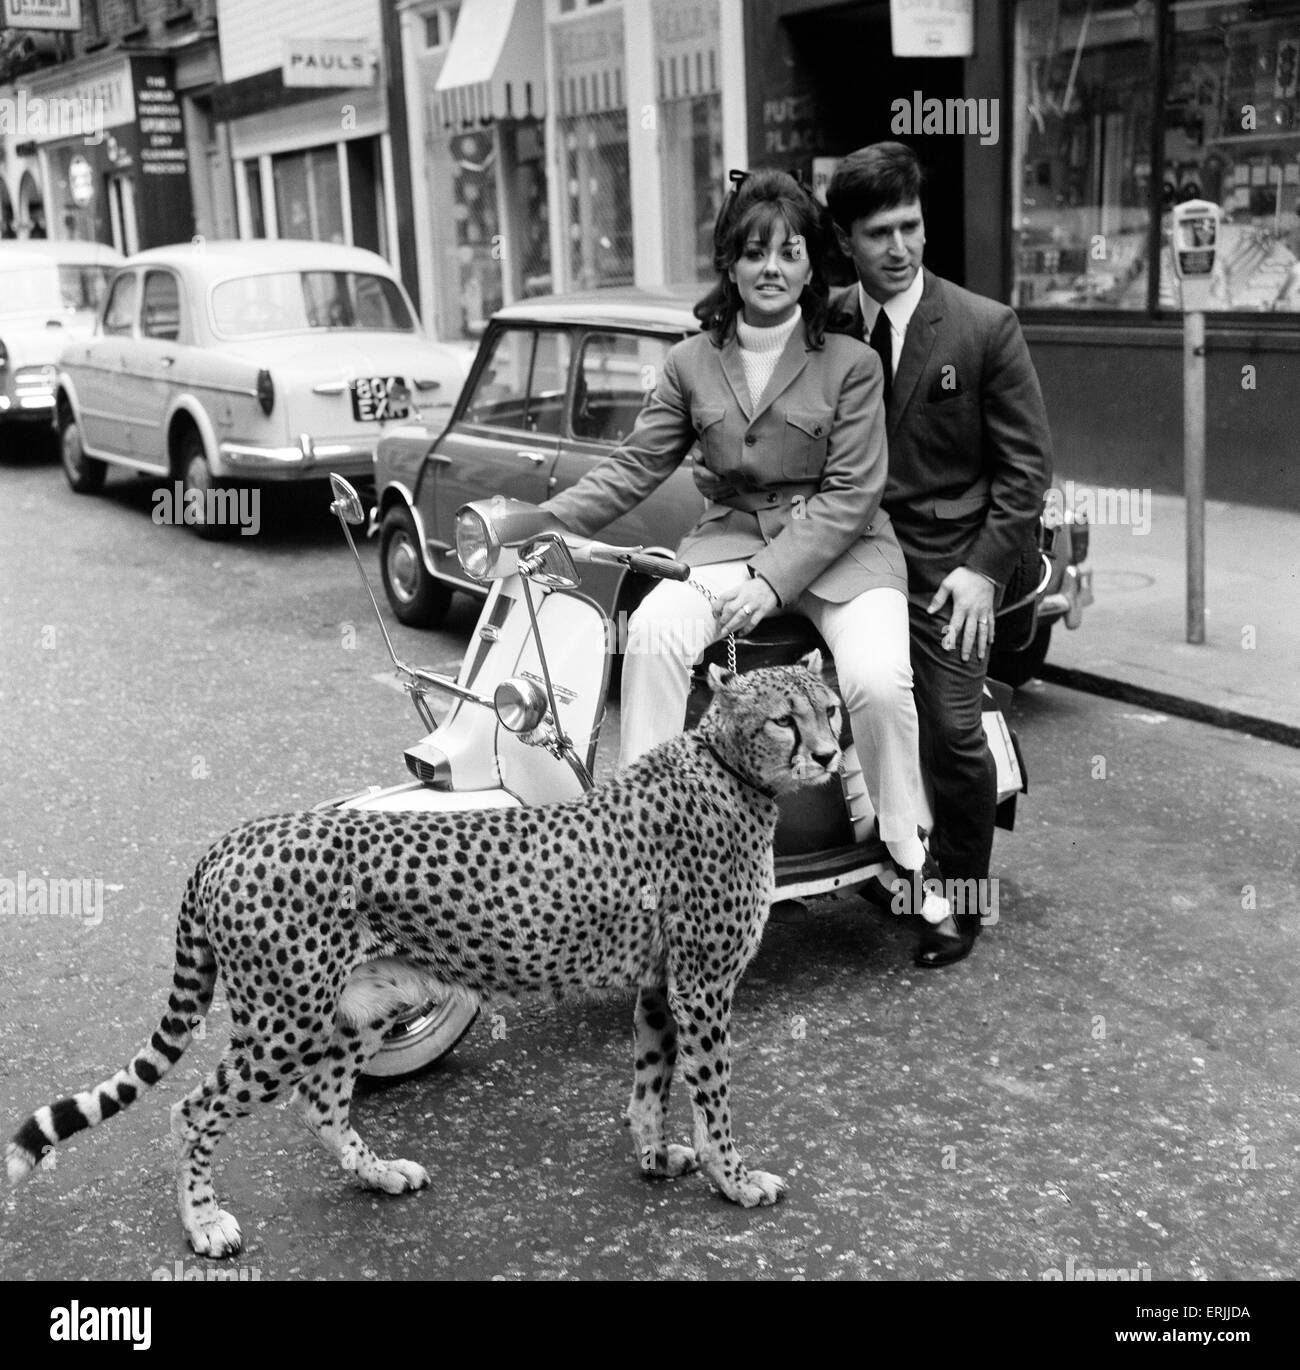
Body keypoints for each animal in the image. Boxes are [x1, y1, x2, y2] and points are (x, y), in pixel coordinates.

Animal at [5, 652, 843, 1254]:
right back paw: (203, 1223)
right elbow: (712, 1093)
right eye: (785, 720)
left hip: (366, 1002)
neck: (729, 765)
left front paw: (657, 1157)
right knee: (195, 1107)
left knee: (321, 1100)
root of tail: (234, 838)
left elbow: (651, 1080)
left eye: (829, 709)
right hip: (284, 1020)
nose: (833, 754)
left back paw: (377, 1173)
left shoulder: (661, 984)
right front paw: (732, 1179)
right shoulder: (703, 987)